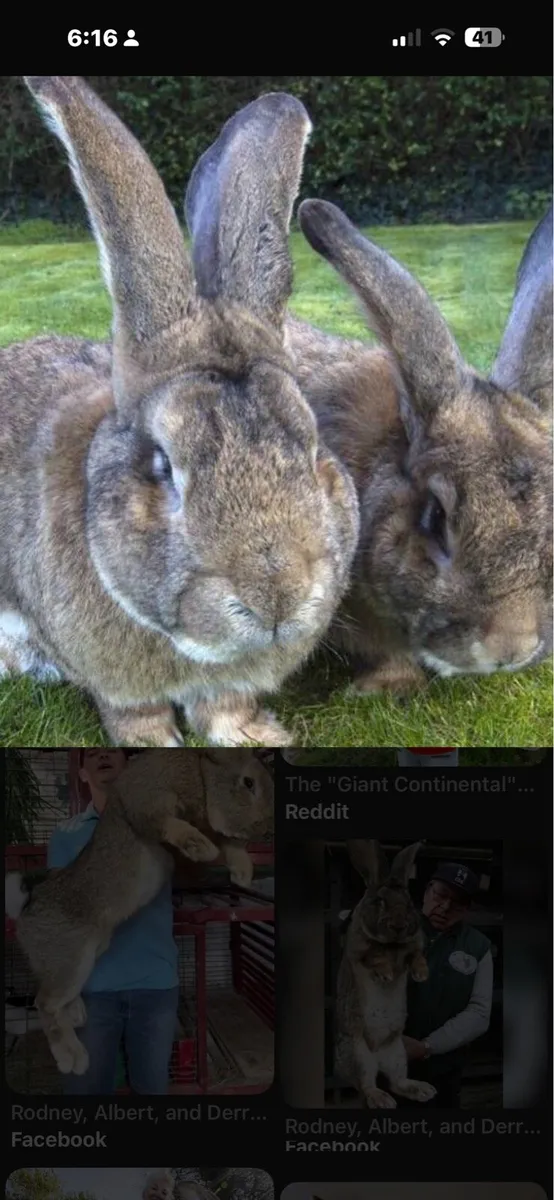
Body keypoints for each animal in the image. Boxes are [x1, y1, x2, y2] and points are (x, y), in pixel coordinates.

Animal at [0, 79, 359, 749]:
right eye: (164, 466)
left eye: (311, 445)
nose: (277, 596)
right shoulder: (118, 685)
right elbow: (133, 715)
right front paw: (155, 747)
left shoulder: (228, 683)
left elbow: (225, 706)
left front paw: (255, 739)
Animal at [5, 747, 273, 1075]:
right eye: (248, 783)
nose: (264, 827)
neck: (201, 776)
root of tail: (25, 909)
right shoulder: (145, 802)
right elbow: (168, 824)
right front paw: (202, 848)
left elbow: (231, 846)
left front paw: (243, 874)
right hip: (71, 956)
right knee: (45, 1003)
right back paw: (73, 1058)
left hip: (89, 951)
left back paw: (78, 1015)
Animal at [335, 839, 436, 1108]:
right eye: (379, 901)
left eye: (409, 903)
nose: (399, 926)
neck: (393, 945)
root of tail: (378, 1055)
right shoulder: (359, 950)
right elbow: (375, 957)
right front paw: (386, 975)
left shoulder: (414, 947)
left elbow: (417, 957)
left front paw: (422, 975)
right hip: (359, 1054)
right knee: (368, 1085)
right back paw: (382, 1100)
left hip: (397, 1054)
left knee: (397, 1082)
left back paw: (423, 1090)